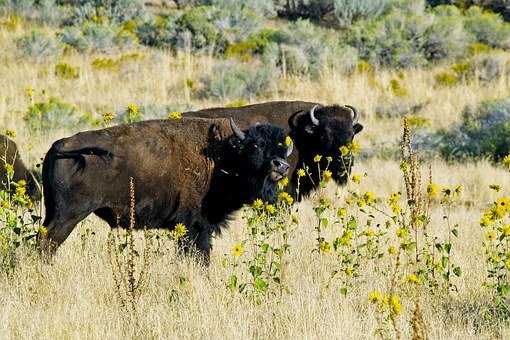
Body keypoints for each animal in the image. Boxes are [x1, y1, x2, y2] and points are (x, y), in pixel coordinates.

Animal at [40, 118, 290, 262]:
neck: (222, 155)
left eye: (282, 148)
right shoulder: (195, 226)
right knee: (47, 243)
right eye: (256, 145)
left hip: (53, 211)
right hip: (69, 216)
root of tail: (59, 145)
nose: (281, 165)